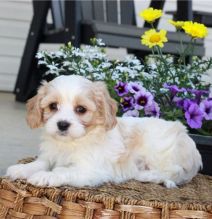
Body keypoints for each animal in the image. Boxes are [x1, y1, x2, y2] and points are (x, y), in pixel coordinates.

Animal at [6, 75, 202, 188]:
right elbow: (39, 163)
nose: (62, 124)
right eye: (53, 106)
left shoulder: (91, 170)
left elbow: (62, 171)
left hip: (160, 153)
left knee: (172, 172)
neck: (71, 143)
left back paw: (144, 175)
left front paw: (45, 177)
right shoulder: (49, 156)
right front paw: (21, 169)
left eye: (81, 109)